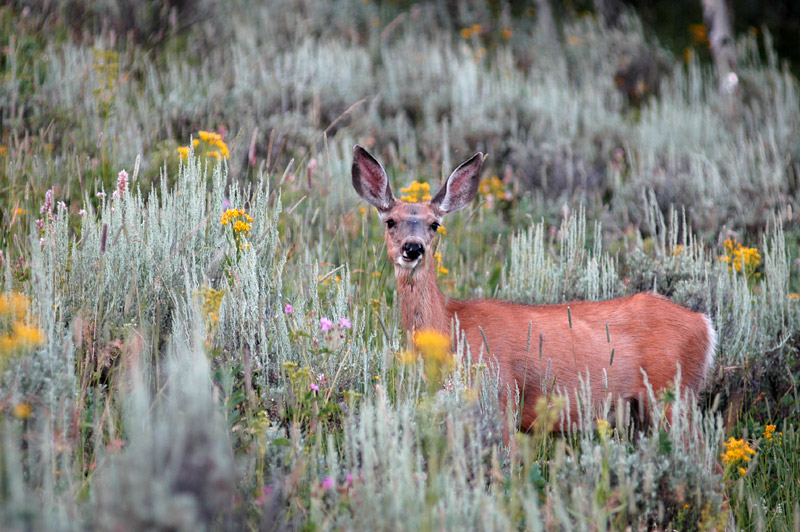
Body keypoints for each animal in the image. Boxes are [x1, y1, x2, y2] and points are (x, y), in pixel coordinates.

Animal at [354, 145, 716, 432]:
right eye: (390, 221)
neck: (450, 326)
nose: (413, 248)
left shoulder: (502, 396)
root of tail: (704, 324)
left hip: (672, 395)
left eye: (434, 224)